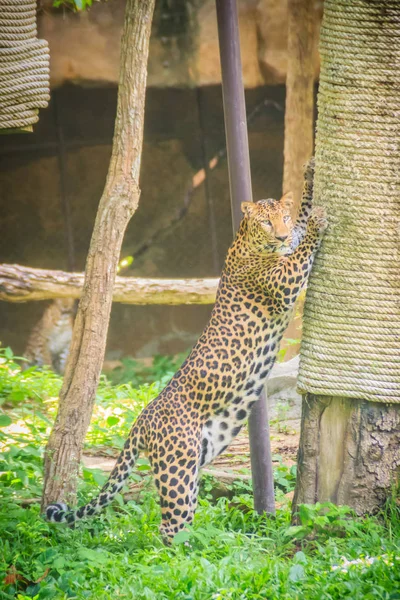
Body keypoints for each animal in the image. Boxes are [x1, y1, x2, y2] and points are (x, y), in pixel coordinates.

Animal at [46, 159, 328, 544]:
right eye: (267, 223)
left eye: (281, 218)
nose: (280, 236)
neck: (244, 237)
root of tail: (142, 419)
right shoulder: (284, 281)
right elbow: (301, 250)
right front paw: (318, 222)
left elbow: (301, 221)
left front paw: (310, 179)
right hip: (176, 470)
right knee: (169, 527)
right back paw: (197, 552)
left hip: (194, 462)